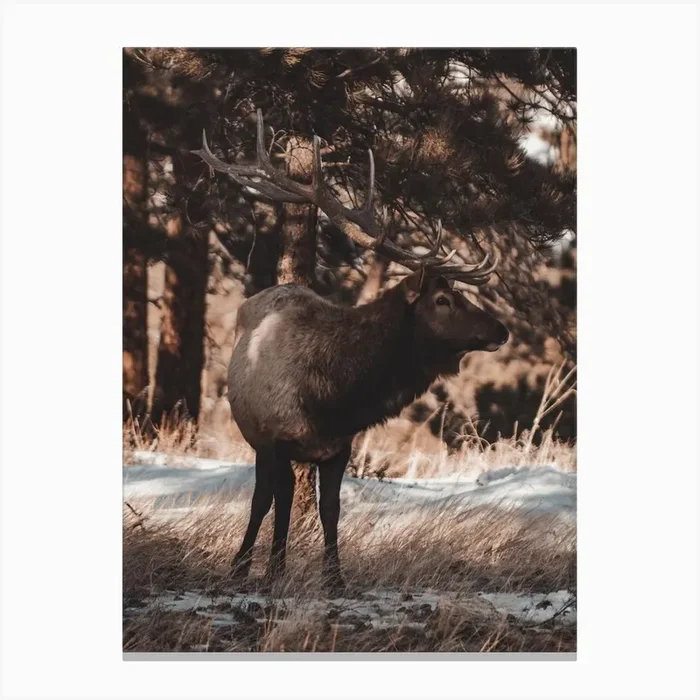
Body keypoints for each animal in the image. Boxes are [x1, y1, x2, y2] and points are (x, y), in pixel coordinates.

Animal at [193, 110, 509, 592]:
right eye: (443, 300)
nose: (501, 329)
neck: (334, 397)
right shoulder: (274, 439)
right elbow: (274, 503)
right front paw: (262, 571)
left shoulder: (339, 447)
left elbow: (331, 509)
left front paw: (335, 579)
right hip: (260, 438)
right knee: (268, 498)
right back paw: (250, 565)